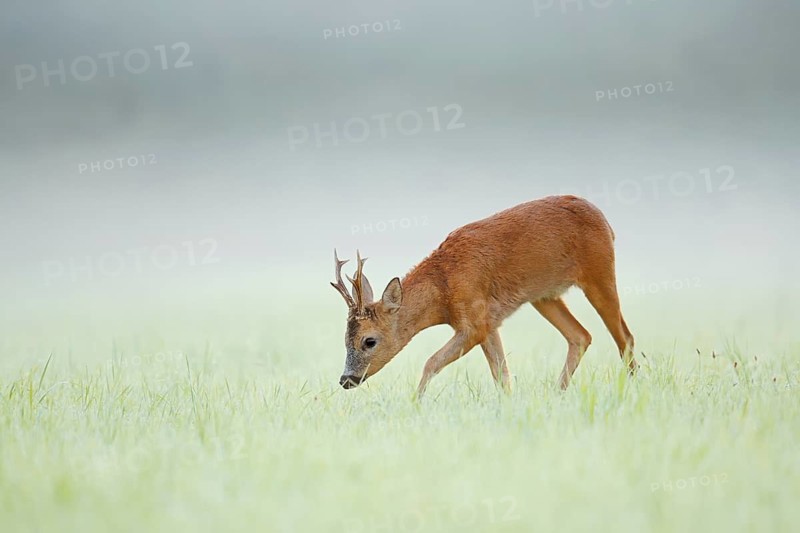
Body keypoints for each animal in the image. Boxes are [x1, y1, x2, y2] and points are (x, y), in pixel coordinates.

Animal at [330, 195, 637, 398]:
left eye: (369, 341)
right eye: (344, 339)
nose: (346, 379)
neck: (443, 286)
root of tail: (606, 221)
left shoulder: (474, 321)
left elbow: (431, 362)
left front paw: (415, 403)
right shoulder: (489, 323)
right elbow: (502, 376)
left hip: (599, 272)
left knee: (625, 337)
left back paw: (633, 387)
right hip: (544, 296)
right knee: (581, 336)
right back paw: (557, 394)